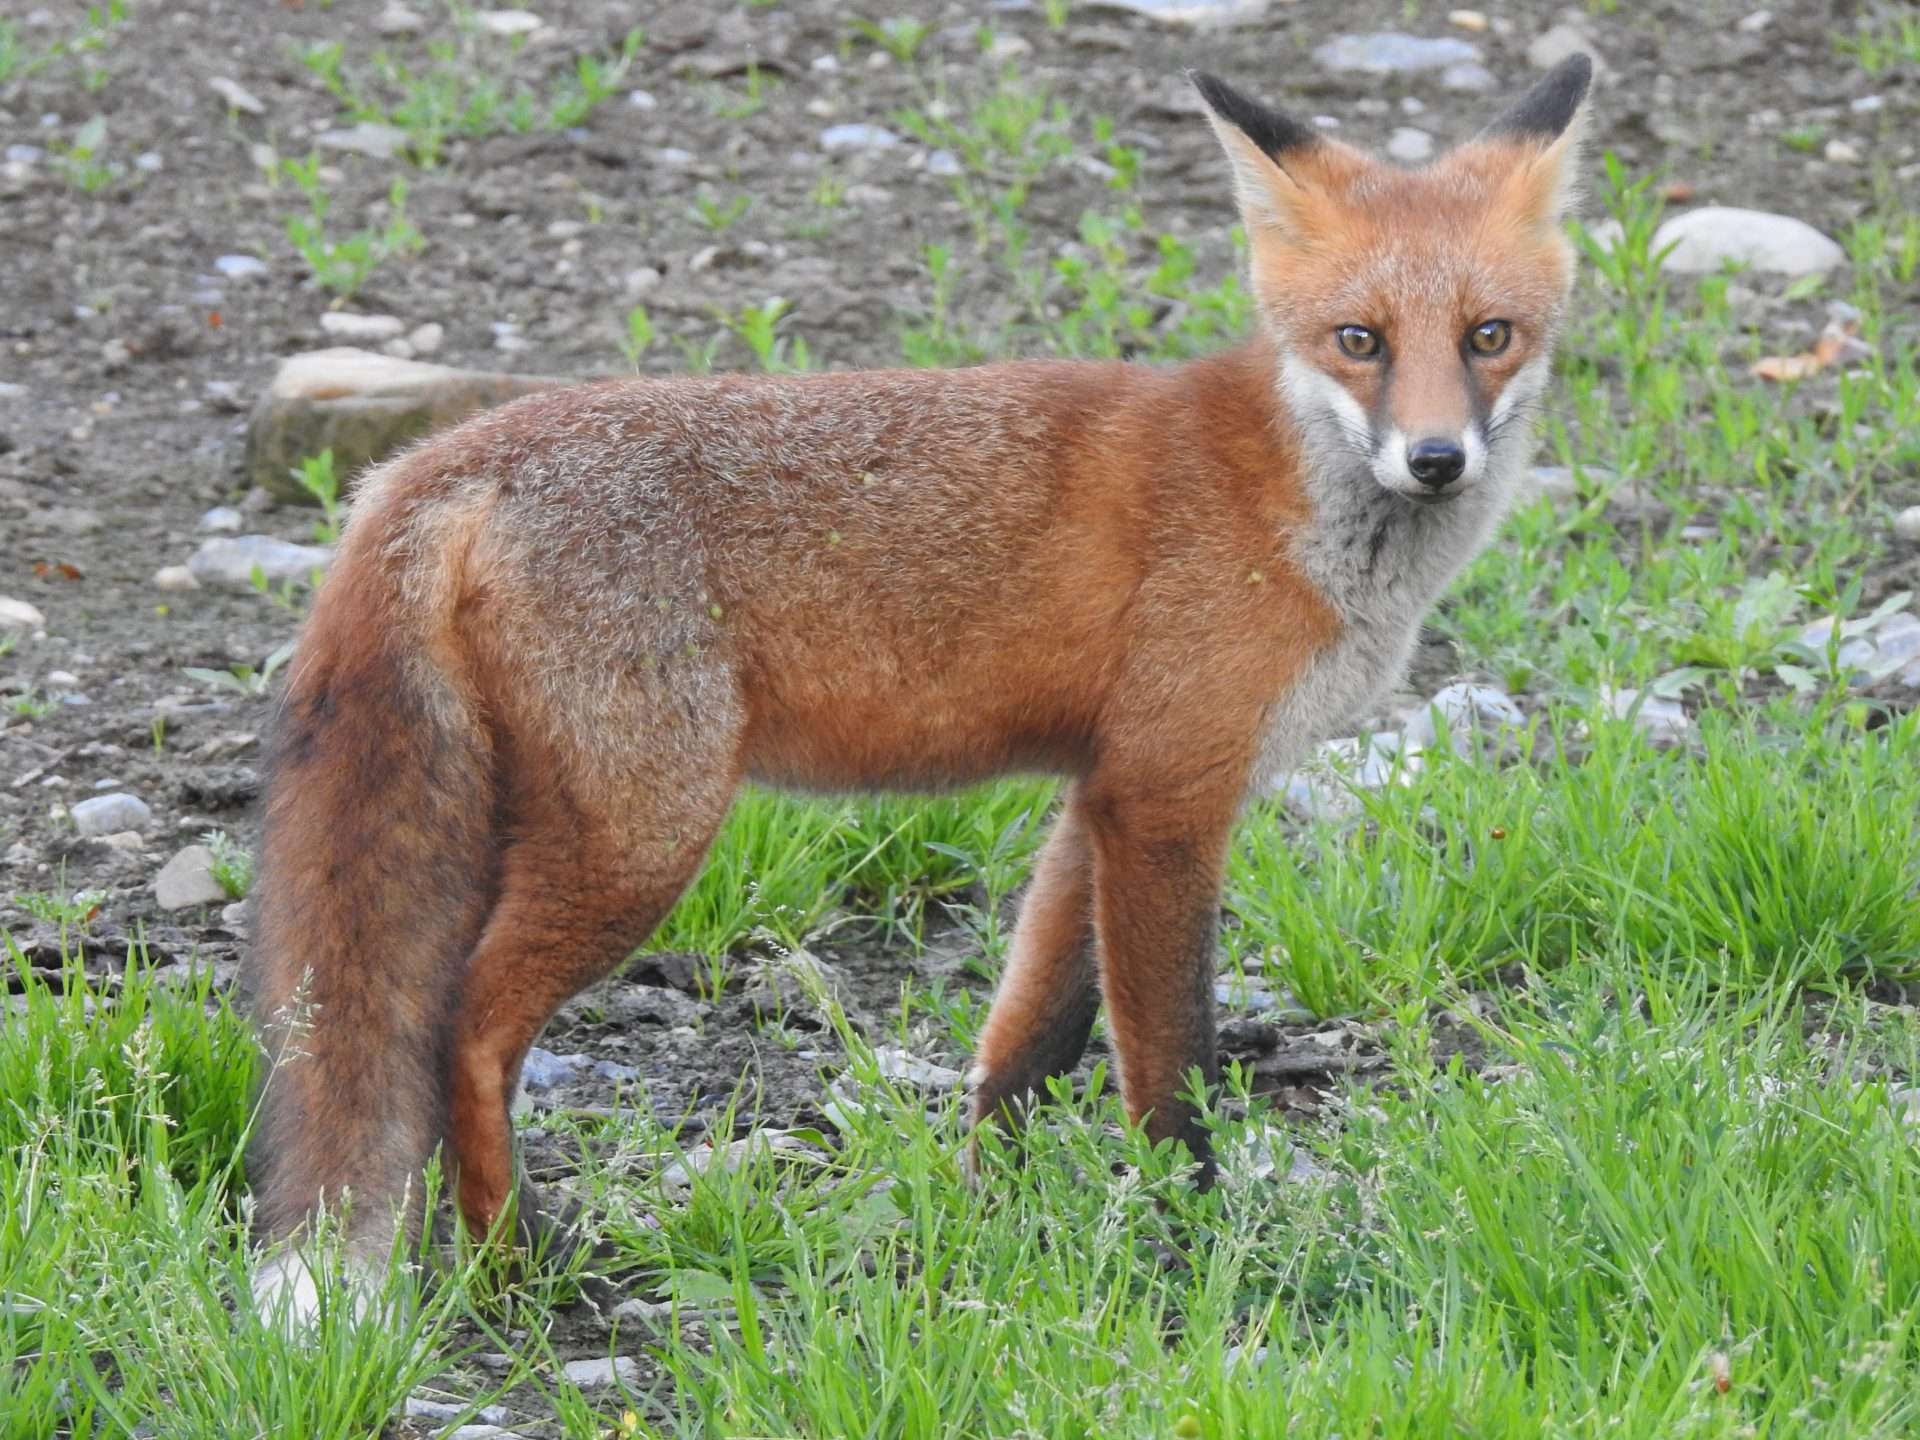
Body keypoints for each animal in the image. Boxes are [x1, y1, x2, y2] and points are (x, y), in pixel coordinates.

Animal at [247, 55, 1594, 1322]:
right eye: (1359, 342)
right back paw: (517, 1263)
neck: (1293, 509)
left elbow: (1033, 1036)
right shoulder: (1170, 800)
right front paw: (1199, 1242)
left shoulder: (1099, 795)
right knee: (461, 1026)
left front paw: (987, 1211)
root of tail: (437, 461)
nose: (1435, 459)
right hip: (643, 838)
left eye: (1489, 335)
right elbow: (1172, 1065)